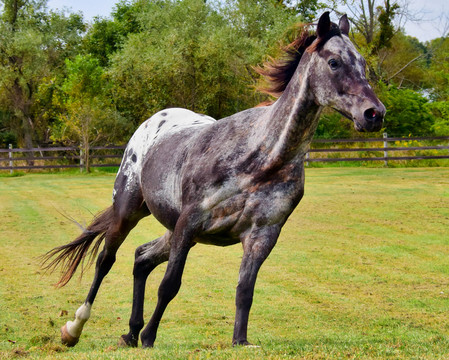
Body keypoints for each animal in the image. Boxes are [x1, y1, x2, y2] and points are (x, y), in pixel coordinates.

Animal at [43, 11, 384, 348]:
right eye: (334, 62)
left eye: (363, 64)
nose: (374, 114)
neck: (261, 158)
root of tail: (152, 123)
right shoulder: (190, 222)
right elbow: (170, 285)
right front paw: (150, 337)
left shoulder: (262, 234)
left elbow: (245, 290)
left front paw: (240, 341)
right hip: (129, 212)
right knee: (106, 259)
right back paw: (75, 328)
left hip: (173, 231)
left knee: (141, 258)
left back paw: (131, 332)